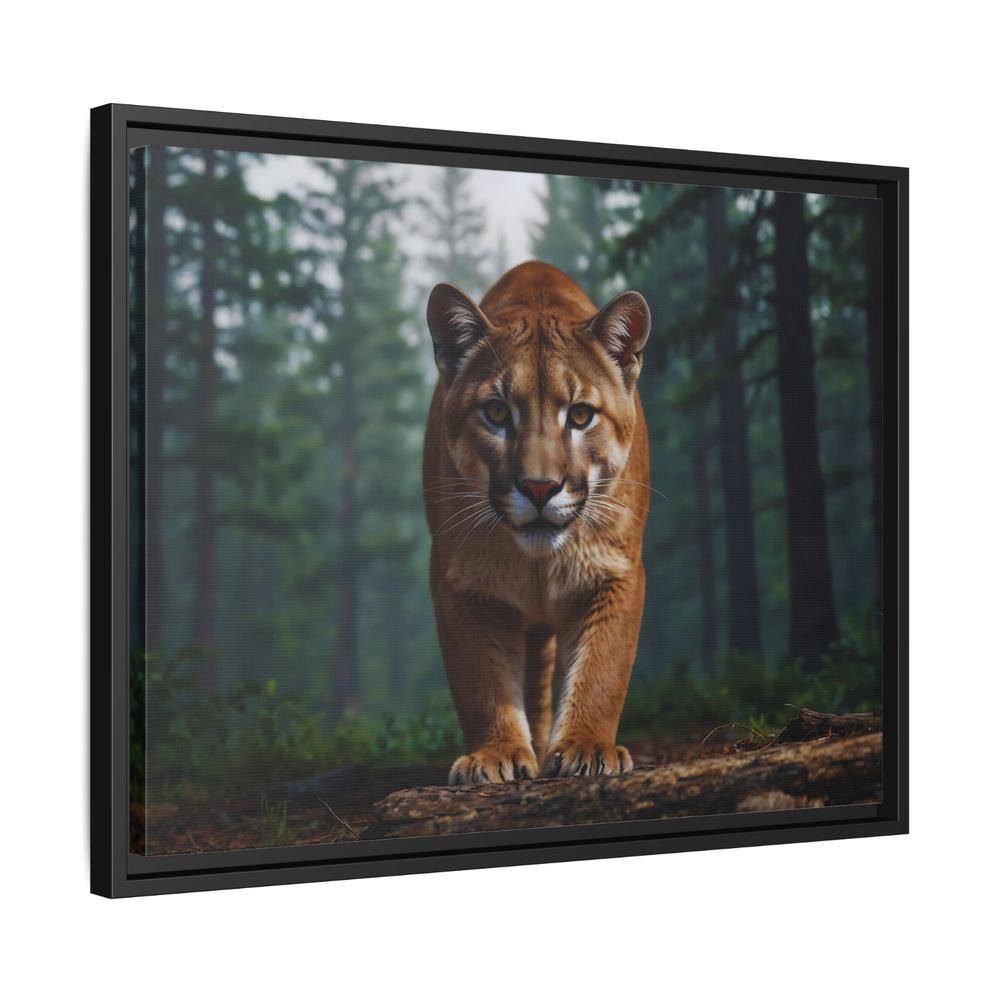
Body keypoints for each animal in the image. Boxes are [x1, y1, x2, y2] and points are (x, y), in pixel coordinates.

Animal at [423, 261, 651, 784]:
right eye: (496, 411)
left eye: (581, 415)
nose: (540, 487)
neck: (538, 562)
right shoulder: (461, 583)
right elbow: (481, 680)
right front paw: (496, 754)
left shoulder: (615, 573)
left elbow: (602, 668)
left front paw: (587, 747)